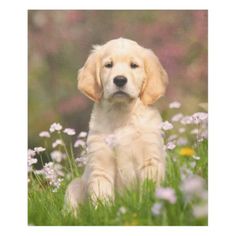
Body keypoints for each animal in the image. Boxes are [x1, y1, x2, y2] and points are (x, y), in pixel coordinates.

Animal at [64, 37, 168, 212]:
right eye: (108, 65)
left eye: (134, 65)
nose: (119, 80)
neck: (121, 114)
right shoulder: (100, 163)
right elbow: (101, 195)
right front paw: (103, 213)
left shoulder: (150, 159)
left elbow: (149, 189)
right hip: (75, 185)